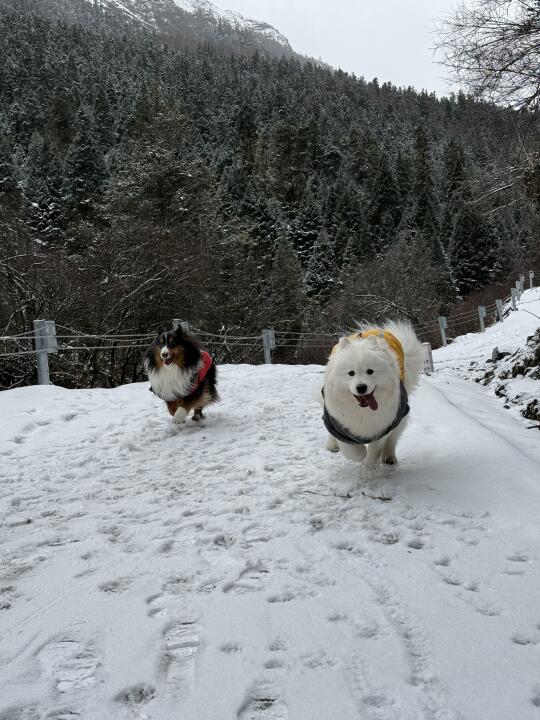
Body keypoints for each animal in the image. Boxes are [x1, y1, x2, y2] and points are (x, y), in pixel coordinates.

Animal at [318, 320, 424, 466]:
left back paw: (389, 457)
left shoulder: (383, 424)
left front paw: (370, 463)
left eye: (370, 371)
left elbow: (376, 447)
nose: (361, 387)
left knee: (392, 440)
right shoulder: (337, 422)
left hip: (401, 415)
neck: (363, 411)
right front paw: (360, 453)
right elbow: (352, 450)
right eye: (351, 373)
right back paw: (332, 445)